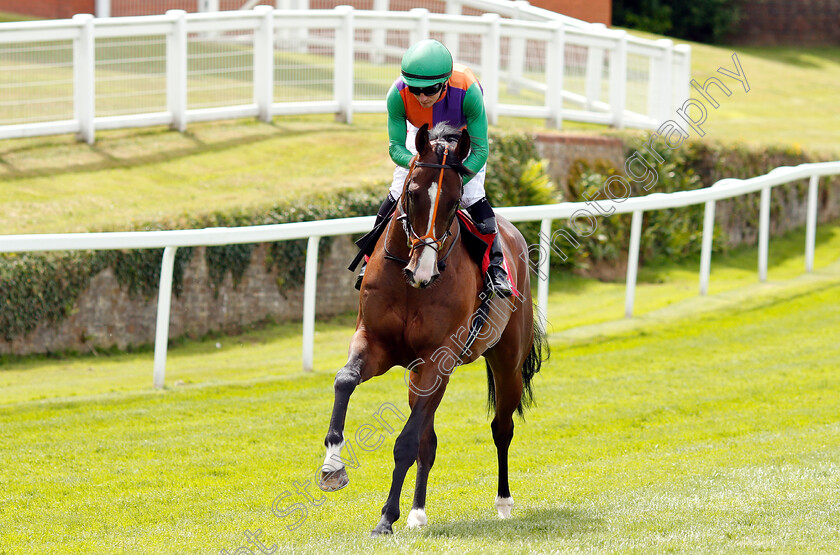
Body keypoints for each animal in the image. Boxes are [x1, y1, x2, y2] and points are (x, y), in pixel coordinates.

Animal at [318, 122, 548, 540]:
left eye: (455, 201)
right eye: (411, 193)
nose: (423, 271)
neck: (411, 284)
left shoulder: (437, 359)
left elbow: (405, 442)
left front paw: (386, 517)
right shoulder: (375, 343)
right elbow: (345, 380)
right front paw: (332, 465)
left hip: (504, 362)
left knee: (501, 427)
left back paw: (503, 502)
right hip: (419, 374)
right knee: (429, 439)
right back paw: (417, 512)